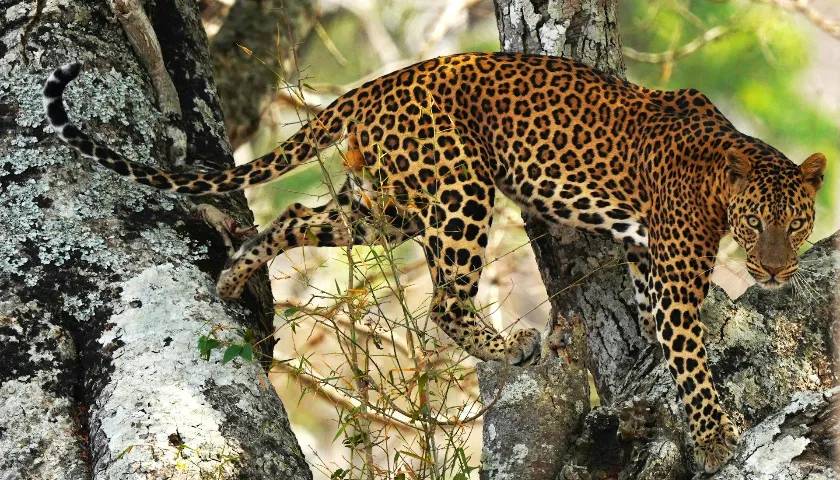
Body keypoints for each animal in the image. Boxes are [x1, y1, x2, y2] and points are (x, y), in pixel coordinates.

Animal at [42, 53, 824, 472]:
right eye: (757, 224)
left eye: (797, 223)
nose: (776, 272)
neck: (725, 178)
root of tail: (378, 83)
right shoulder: (676, 269)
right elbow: (689, 354)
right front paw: (717, 437)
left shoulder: (647, 257)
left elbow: (659, 325)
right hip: (458, 191)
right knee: (445, 299)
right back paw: (510, 347)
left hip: (381, 204)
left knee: (298, 217)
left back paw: (235, 273)